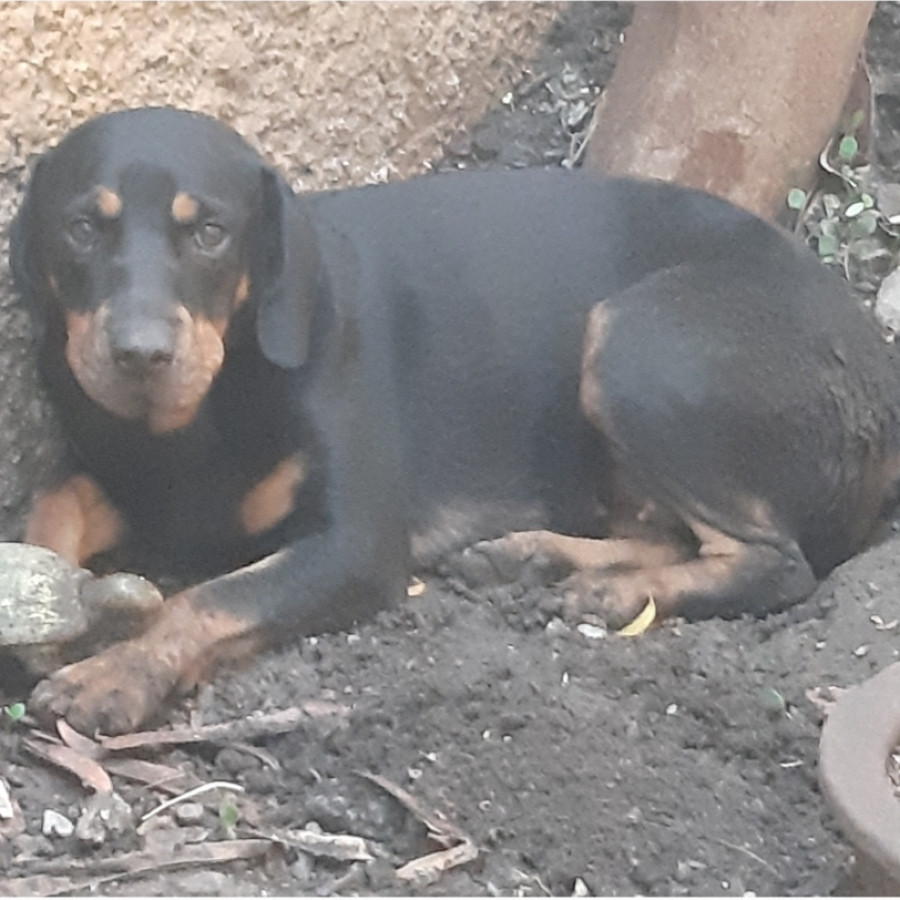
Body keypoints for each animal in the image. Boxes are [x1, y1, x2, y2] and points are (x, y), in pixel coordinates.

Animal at [10, 109, 900, 736]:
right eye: (81, 227)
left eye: (209, 231)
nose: (139, 354)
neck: (198, 415)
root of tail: (878, 364)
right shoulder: (116, 478)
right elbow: (50, 510)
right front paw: (42, 610)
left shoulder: (356, 546)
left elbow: (208, 600)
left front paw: (115, 675)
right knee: (665, 532)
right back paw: (539, 559)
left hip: (639, 341)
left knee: (775, 563)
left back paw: (615, 594)